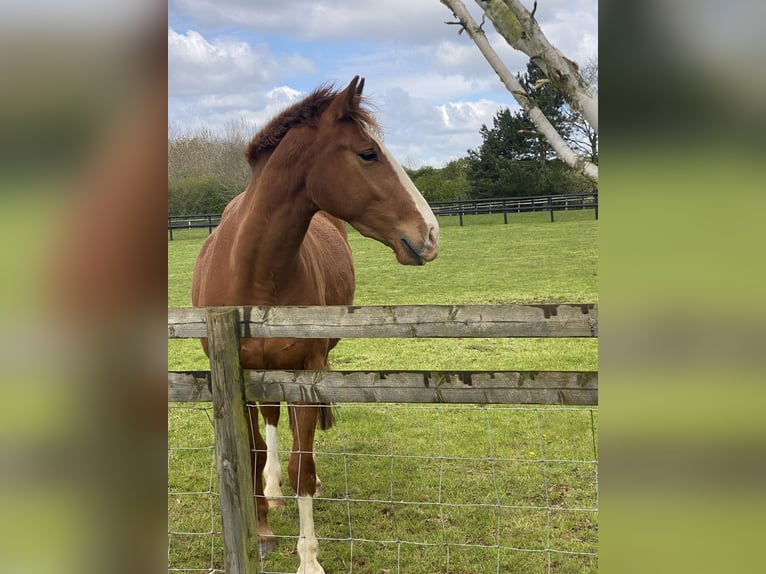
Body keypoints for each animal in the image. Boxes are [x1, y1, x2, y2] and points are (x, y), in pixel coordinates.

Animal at [192, 77, 440, 574]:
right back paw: (270, 493)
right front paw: (262, 530)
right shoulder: (237, 379)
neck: (253, 272)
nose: (431, 233)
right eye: (368, 153)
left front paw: (308, 558)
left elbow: (302, 468)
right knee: (271, 425)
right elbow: (251, 454)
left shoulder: (305, 372)